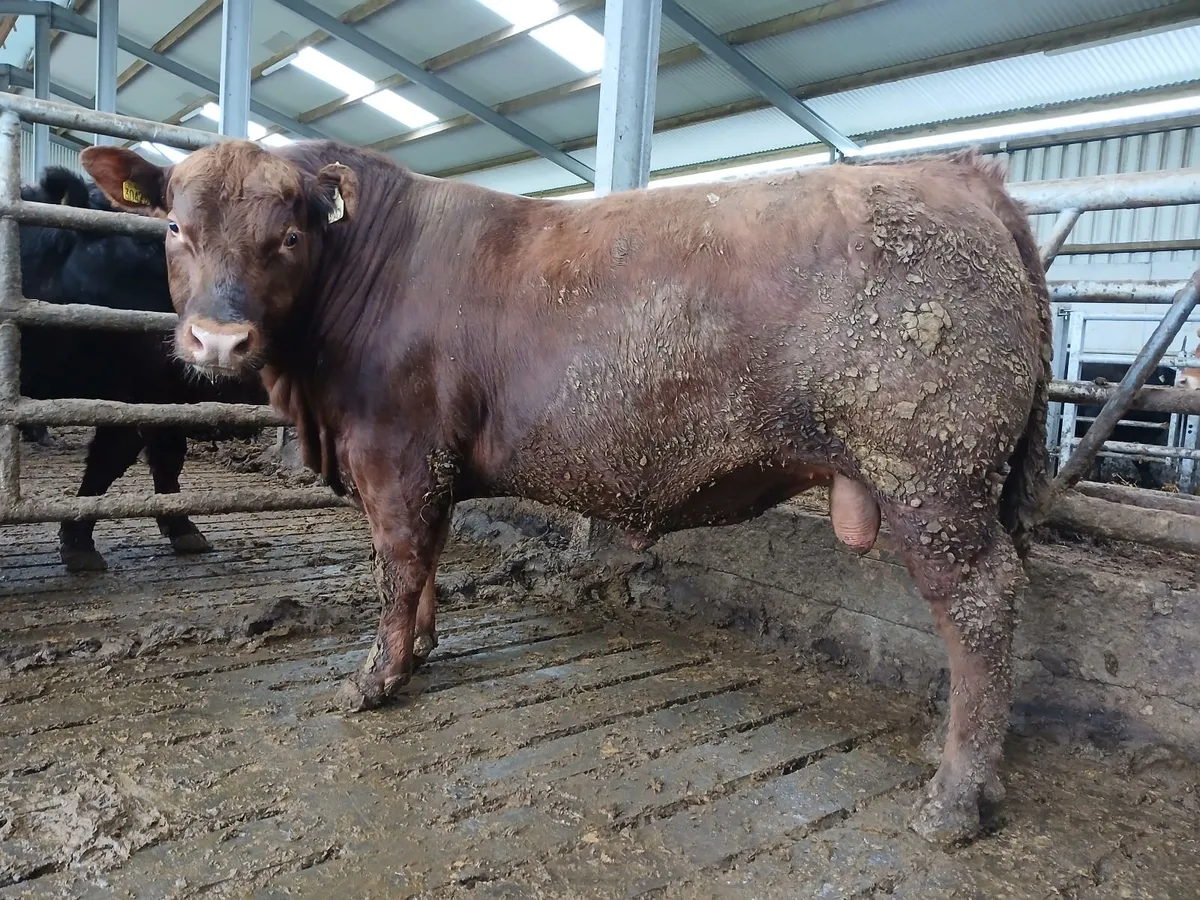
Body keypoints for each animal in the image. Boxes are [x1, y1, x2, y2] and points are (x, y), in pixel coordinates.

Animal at [17, 166, 267, 572]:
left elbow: (166, 460)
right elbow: (111, 461)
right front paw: (80, 548)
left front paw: (185, 532)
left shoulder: (163, 397)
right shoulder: (137, 395)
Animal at [81, 140, 1053, 846]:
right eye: (175, 228)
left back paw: (955, 797)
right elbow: (427, 560)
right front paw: (423, 648)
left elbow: (398, 561)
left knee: (979, 605)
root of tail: (960, 175)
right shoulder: (429, 464)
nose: (218, 340)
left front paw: (377, 677)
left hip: (933, 475)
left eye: (287, 237)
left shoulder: (397, 453)